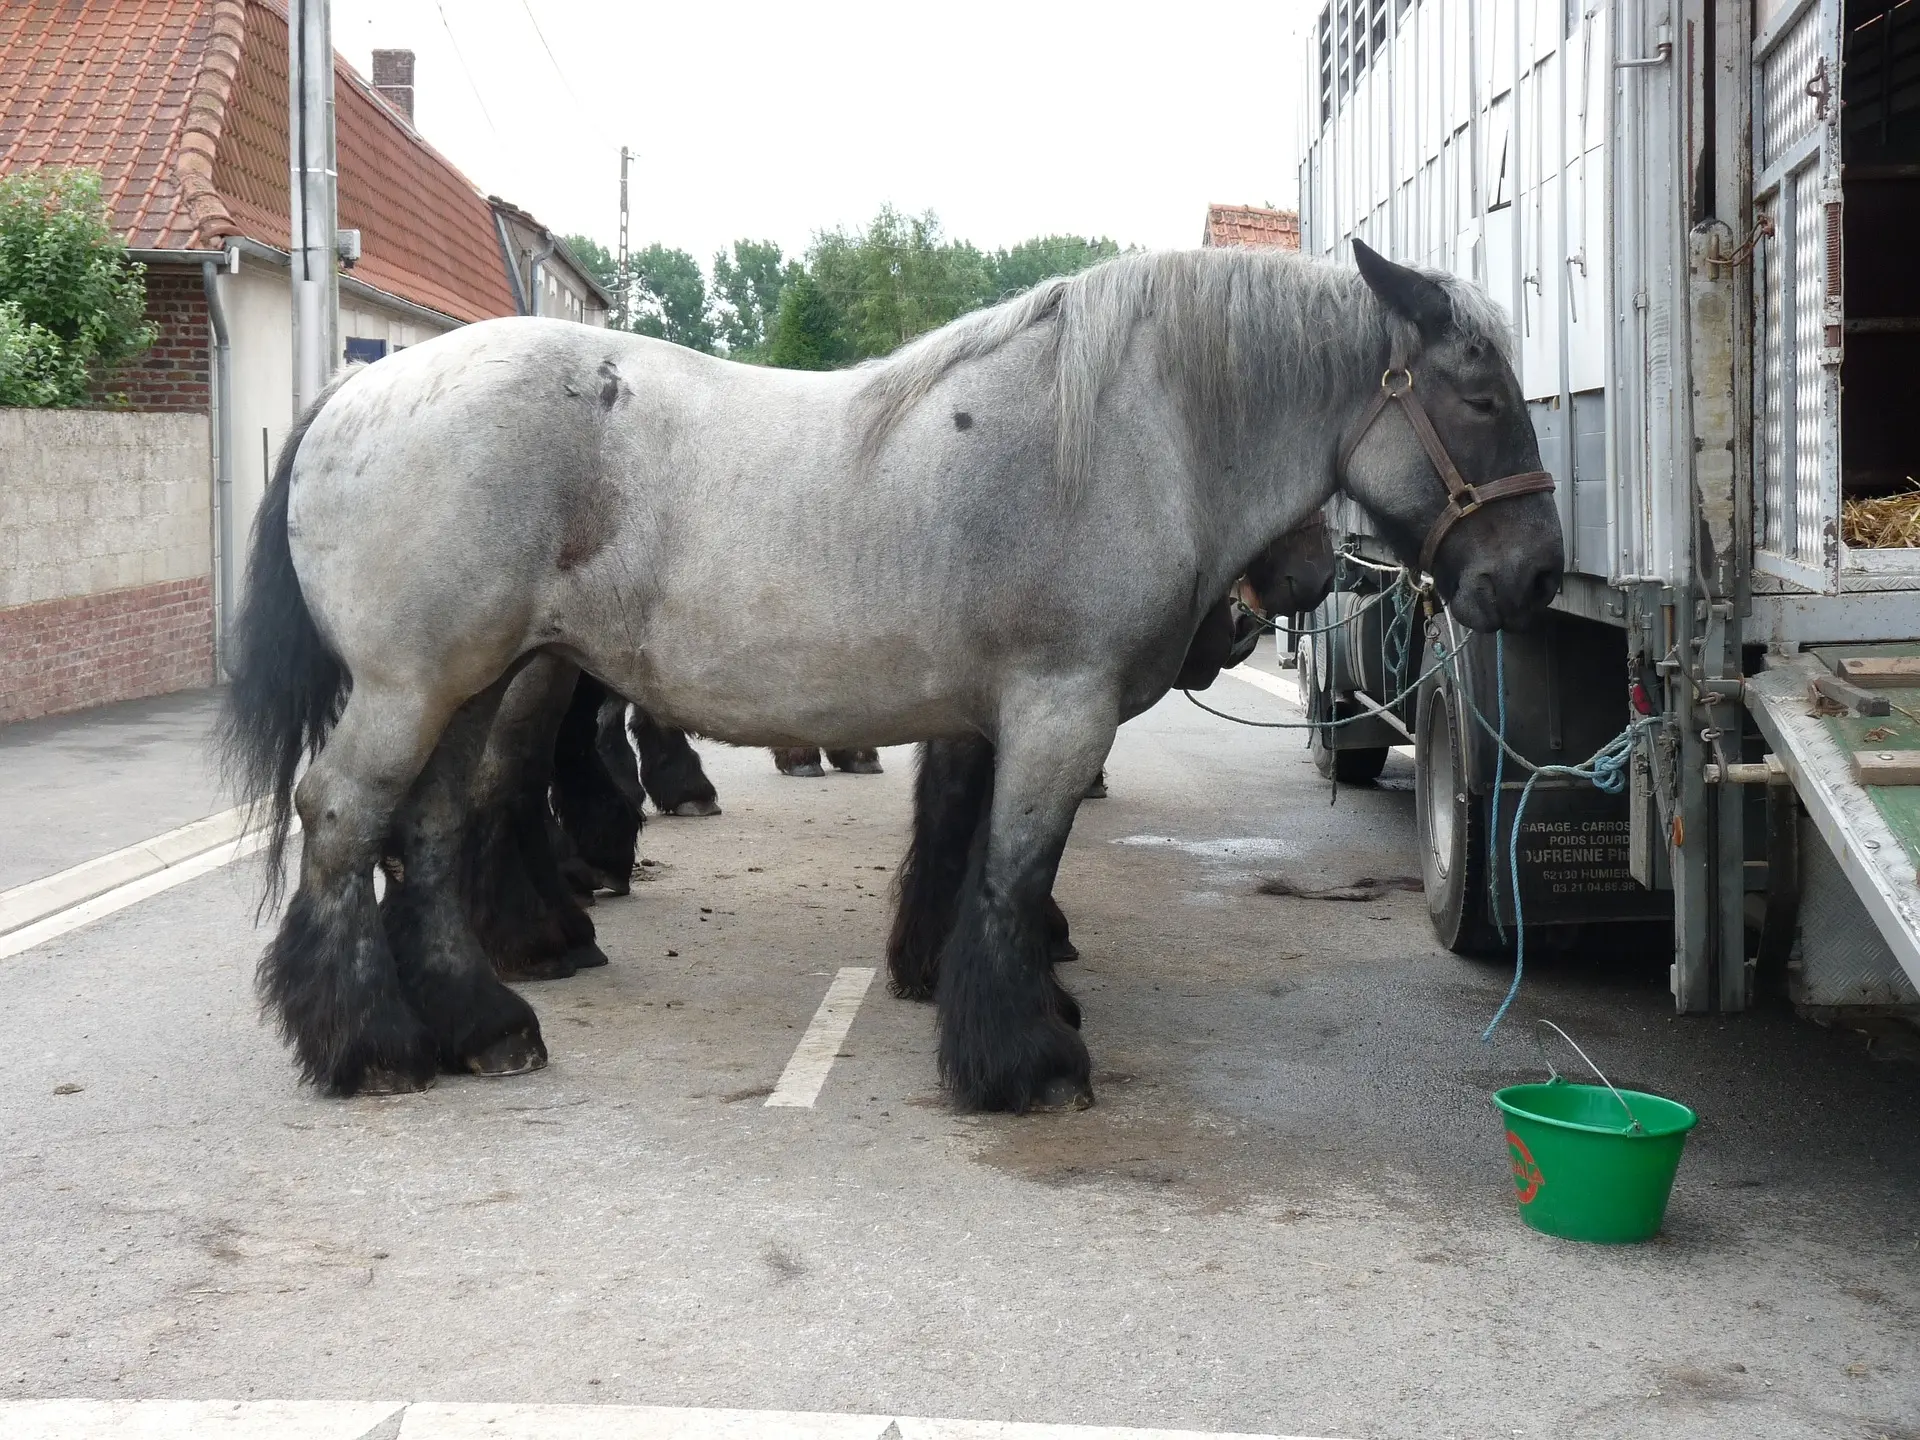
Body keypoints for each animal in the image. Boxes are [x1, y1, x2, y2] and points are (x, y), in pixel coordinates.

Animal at [220, 242, 1559, 1113]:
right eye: (1482, 395)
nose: (1537, 574)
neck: (1124, 441)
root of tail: (360, 386)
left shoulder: (992, 716)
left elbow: (969, 855)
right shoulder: (1058, 712)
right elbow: (1012, 877)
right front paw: (1024, 1061)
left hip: (475, 685)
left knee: (434, 830)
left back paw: (481, 1022)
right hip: (417, 688)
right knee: (345, 821)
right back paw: (372, 1043)